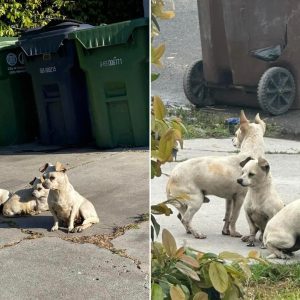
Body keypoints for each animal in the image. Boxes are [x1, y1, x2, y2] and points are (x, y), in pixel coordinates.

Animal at [166, 110, 268, 239]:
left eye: (235, 134)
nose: (232, 140)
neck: (250, 153)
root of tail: (171, 178)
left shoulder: (229, 199)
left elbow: (228, 216)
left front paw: (226, 231)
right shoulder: (239, 198)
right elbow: (234, 217)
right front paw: (234, 232)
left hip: (186, 203)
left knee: (181, 217)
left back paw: (190, 230)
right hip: (197, 199)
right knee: (185, 219)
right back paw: (196, 233)